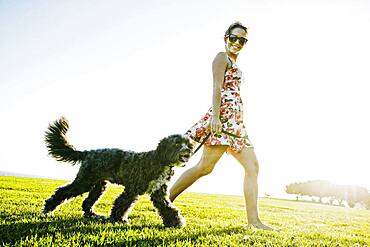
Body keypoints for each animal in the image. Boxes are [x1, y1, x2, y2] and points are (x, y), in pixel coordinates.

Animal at [42, 117, 194, 228]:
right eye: (176, 144)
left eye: (187, 143)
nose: (189, 150)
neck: (159, 160)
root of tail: (88, 153)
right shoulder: (132, 189)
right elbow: (123, 203)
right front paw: (118, 219)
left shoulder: (159, 192)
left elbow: (167, 207)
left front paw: (175, 222)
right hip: (85, 181)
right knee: (63, 191)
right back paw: (48, 210)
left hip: (99, 185)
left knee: (87, 202)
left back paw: (93, 215)